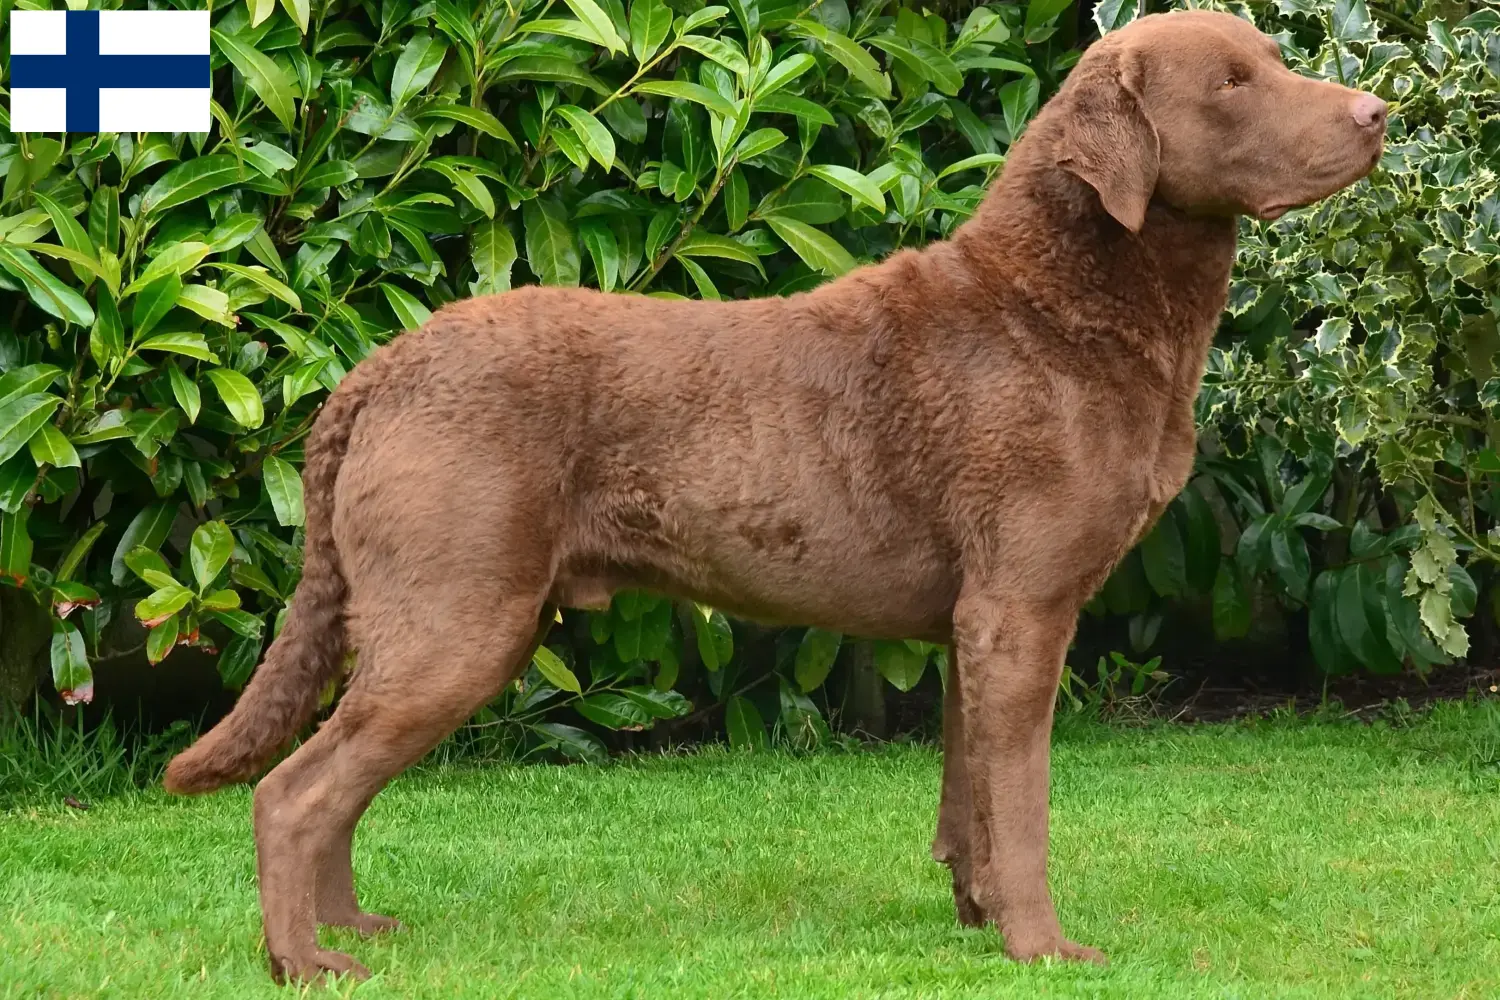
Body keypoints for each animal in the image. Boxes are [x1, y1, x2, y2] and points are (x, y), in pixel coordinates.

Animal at [164, 9, 1380, 983]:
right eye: (1232, 84)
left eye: (1274, 61)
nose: (1376, 112)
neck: (1056, 306)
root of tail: (378, 368)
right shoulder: (1024, 609)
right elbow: (1024, 803)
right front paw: (1044, 949)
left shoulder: (972, 623)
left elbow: (970, 798)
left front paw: (976, 919)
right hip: (459, 617)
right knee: (296, 791)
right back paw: (307, 963)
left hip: (425, 618)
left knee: (337, 778)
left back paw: (351, 929)